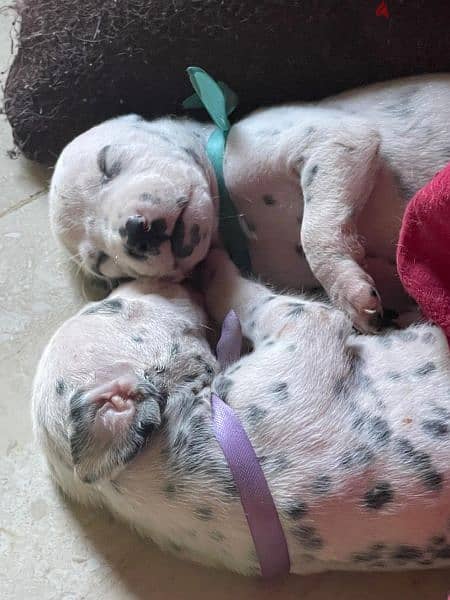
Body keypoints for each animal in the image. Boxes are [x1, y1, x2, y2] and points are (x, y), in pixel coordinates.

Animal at [46, 74, 450, 332]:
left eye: (108, 164)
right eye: (101, 261)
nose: (134, 234)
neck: (230, 214)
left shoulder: (336, 141)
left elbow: (314, 234)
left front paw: (347, 289)